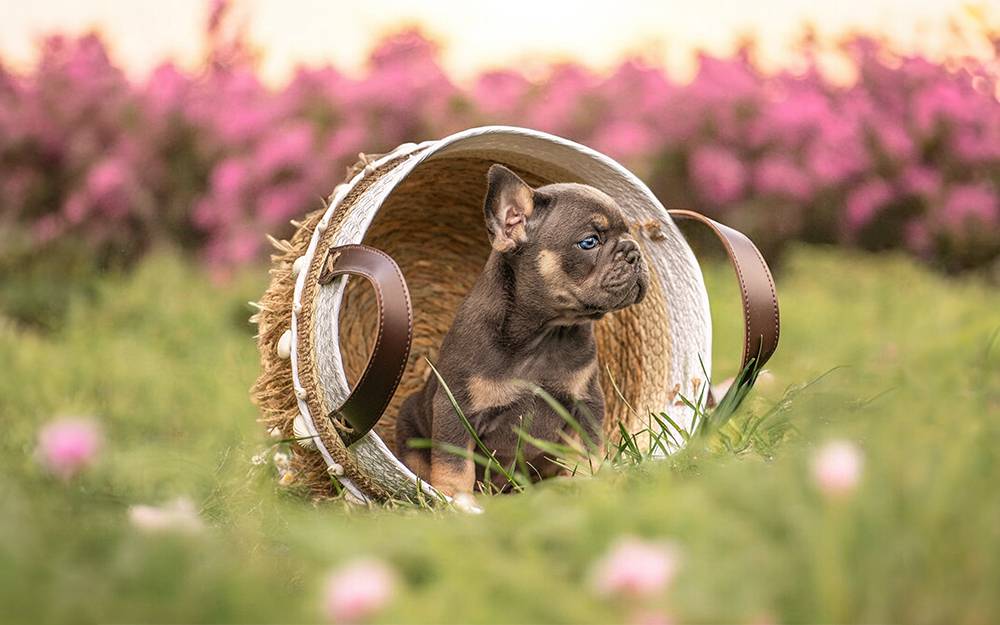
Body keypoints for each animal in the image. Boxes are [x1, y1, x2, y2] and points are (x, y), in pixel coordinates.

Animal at [394, 163, 652, 494]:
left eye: (629, 234)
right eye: (589, 242)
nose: (634, 252)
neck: (543, 333)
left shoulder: (586, 405)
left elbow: (585, 454)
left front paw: (585, 486)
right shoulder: (455, 408)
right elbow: (455, 465)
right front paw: (455, 498)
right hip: (409, 421)